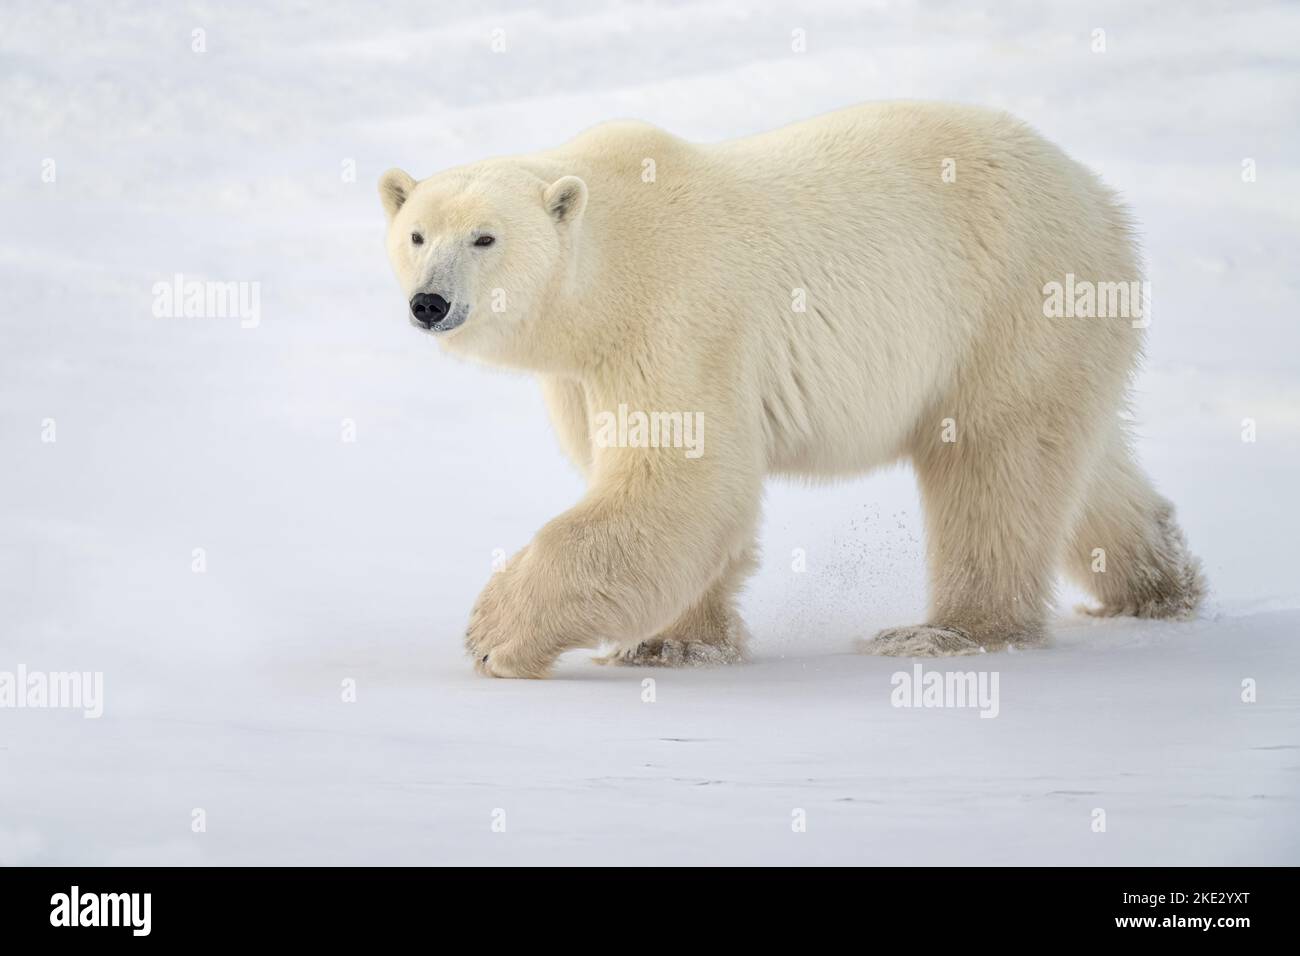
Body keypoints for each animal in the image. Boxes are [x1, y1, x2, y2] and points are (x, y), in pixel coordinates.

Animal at [379, 100, 1201, 676]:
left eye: (485, 237)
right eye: (416, 235)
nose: (430, 303)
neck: (606, 272)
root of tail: (1099, 197)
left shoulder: (678, 316)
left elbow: (683, 479)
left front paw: (493, 633)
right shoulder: (584, 372)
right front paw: (674, 645)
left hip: (1012, 297)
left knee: (994, 464)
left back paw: (945, 631)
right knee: (1076, 460)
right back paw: (1159, 584)